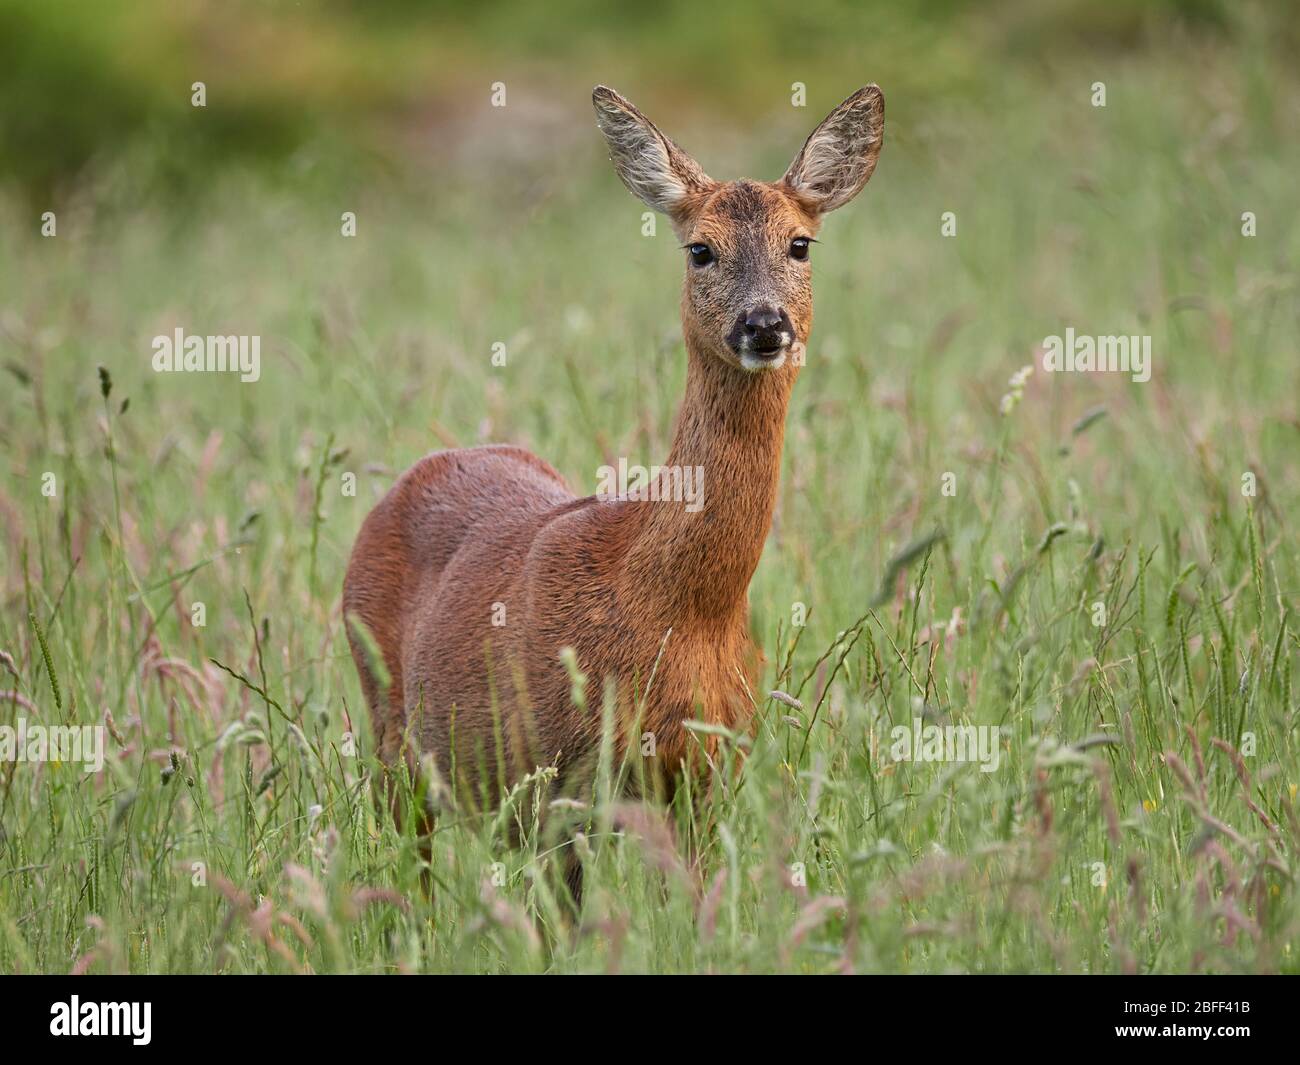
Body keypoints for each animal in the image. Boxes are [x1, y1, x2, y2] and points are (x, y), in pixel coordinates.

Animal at [343, 83, 884, 864]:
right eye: (700, 249)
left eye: (800, 243)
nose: (763, 323)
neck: (677, 607)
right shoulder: (548, 774)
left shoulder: (708, 773)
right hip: (393, 731)